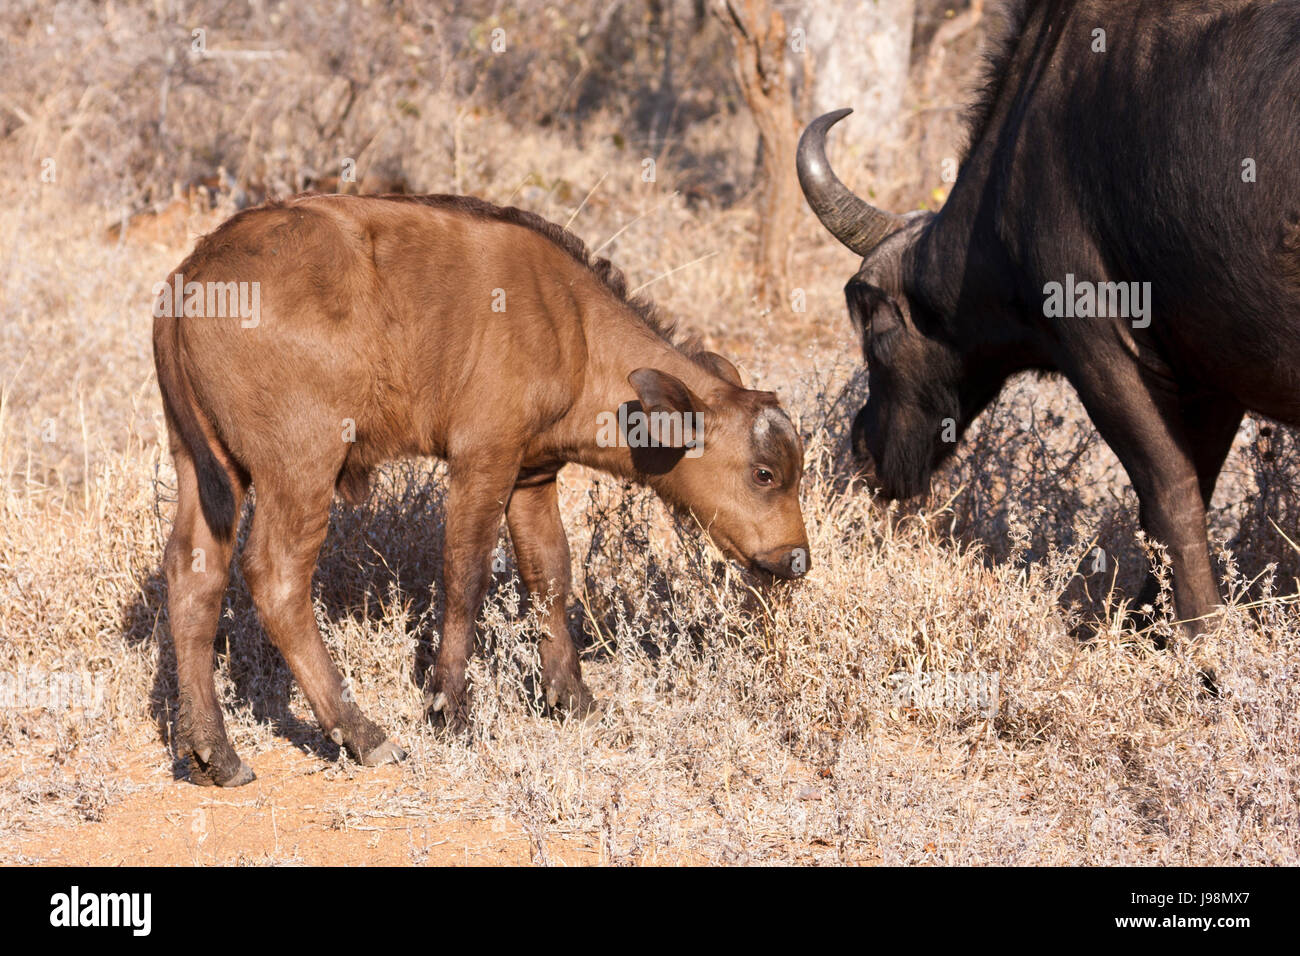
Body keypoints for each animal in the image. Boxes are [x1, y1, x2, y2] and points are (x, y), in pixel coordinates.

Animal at [149, 192, 800, 785]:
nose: (797, 559)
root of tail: (194, 272)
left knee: (192, 571)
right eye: (764, 473)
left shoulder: (532, 475)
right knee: (276, 578)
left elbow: (550, 572)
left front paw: (571, 696)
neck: (573, 325)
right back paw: (361, 733)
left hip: (207, 469)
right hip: (302, 470)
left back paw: (213, 751)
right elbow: (466, 574)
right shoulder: (483, 460)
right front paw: (452, 709)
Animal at [795, 1, 1300, 634]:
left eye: (873, 328)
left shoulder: (1101, 350)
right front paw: (1147, 622)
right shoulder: (1211, 381)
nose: (862, 445)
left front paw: (1196, 637)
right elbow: (1193, 489)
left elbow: (1170, 494)